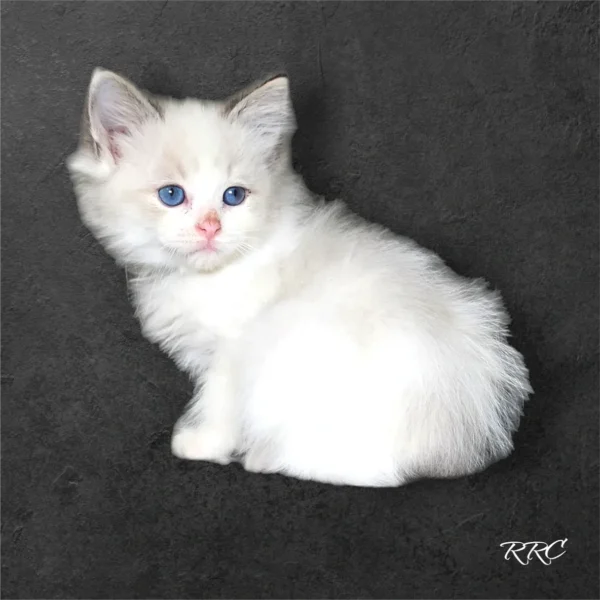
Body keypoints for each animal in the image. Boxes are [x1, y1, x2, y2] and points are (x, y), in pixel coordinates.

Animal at [68, 68, 532, 486]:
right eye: (171, 195)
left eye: (233, 196)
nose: (210, 228)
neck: (206, 276)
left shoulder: (234, 350)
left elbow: (218, 403)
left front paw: (201, 445)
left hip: (297, 344)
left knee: (381, 472)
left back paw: (268, 459)